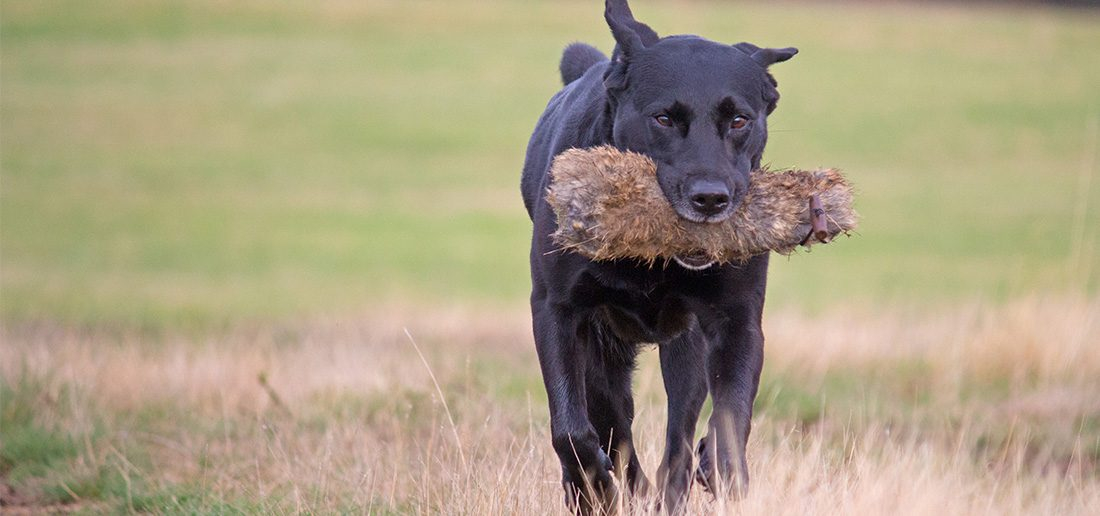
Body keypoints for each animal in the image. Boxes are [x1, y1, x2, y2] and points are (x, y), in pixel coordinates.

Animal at [519, 0, 796, 510]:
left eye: (740, 120)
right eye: (663, 118)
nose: (710, 198)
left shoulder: (737, 320)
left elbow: (731, 417)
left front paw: (723, 472)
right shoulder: (557, 310)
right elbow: (571, 429)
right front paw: (593, 485)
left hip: (684, 349)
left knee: (678, 437)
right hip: (604, 351)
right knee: (613, 422)